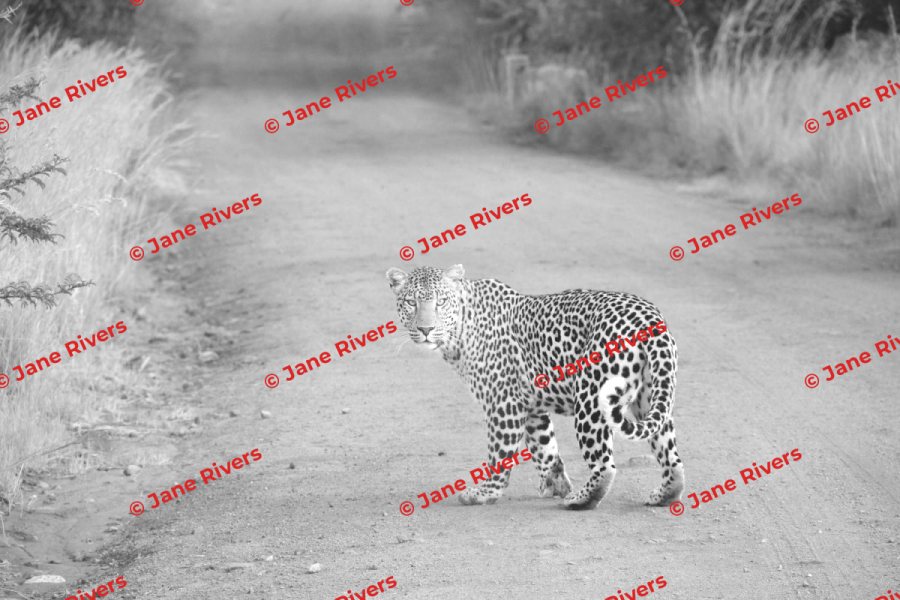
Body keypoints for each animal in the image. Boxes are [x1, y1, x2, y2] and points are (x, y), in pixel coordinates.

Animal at [385, 264, 684, 510]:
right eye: (411, 303)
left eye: (441, 302)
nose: (425, 329)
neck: (460, 330)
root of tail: (649, 318)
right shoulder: (531, 406)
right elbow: (545, 448)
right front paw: (556, 484)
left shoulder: (503, 403)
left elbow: (499, 454)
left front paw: (485, 493)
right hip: (651, 396)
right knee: (672, 457)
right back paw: (664, 494)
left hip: (591, 399)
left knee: (605, 464)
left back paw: (580, 500)